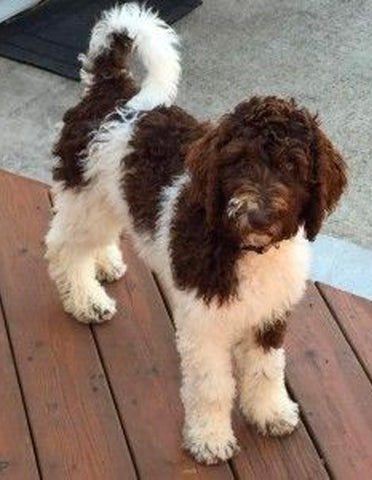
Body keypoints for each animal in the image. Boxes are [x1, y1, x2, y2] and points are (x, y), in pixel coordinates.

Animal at [45, 1, 348, 464]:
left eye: (292, 166)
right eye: (239, 161)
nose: (258, 215)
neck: (247, 249)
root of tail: (111, 90)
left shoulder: (270, 314)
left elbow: (267, 369)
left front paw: (270, 413)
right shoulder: (204, 326)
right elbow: (212, 387)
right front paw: (209, 438)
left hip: (108, 200)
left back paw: (107, 263)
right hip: (85, 200)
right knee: (63, 248)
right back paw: (86, 300)